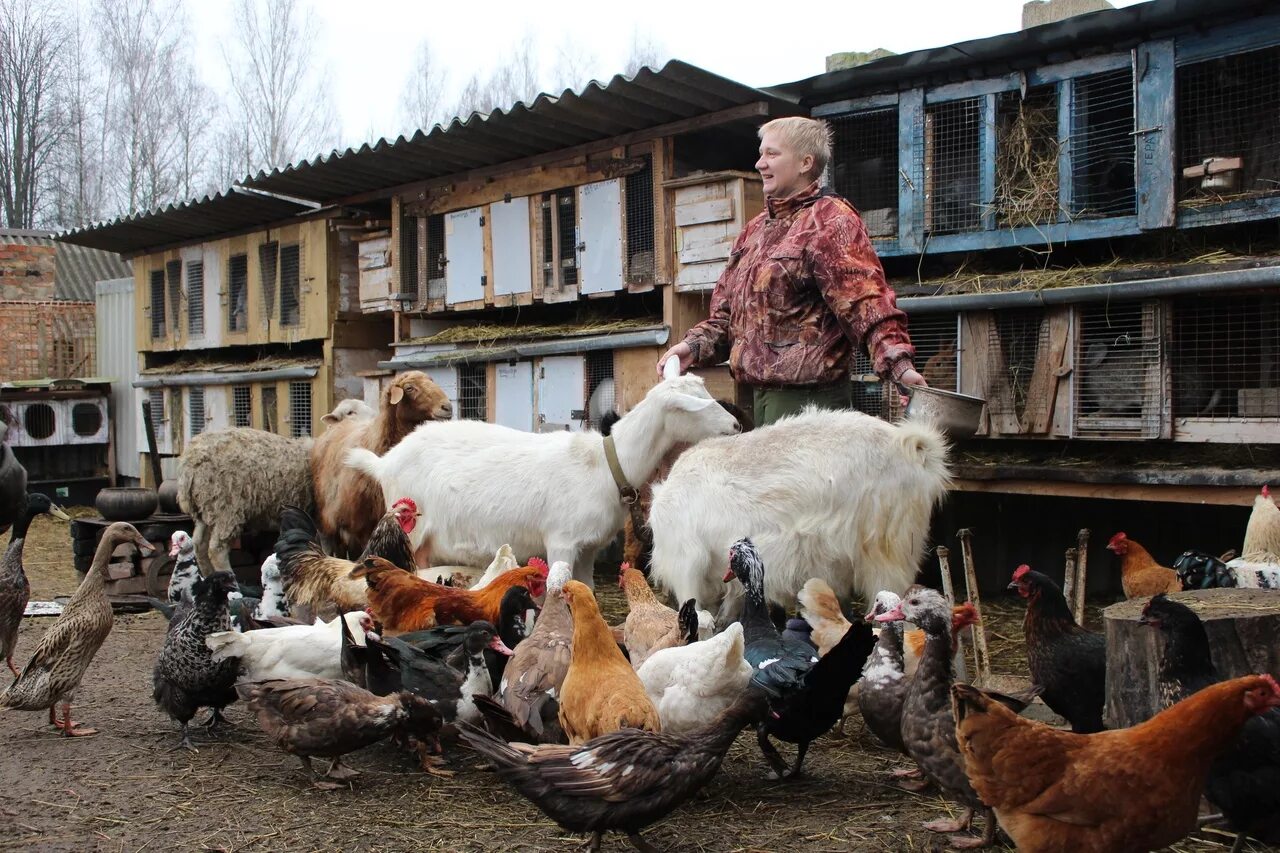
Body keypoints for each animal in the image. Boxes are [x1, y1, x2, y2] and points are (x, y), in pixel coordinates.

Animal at [345, 373, 742, 584]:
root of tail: (385, 463)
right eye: (696, 405)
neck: (605, 464)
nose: (736, 425)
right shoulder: (561, 540)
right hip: (409, 527)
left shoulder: (588, 547)